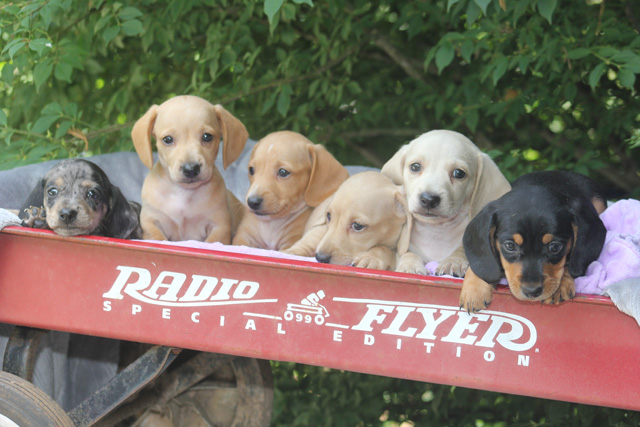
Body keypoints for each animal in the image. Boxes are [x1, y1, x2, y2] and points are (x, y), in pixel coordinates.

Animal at [132, 96, 248, 244]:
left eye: (207, 136)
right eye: (167, 139)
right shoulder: (152, 222)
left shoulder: (219, 226)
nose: (191, 169)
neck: (184, 194)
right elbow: (158, 238)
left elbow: (211, 242)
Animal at [380, 130, 510, 278]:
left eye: (459, 173)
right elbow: (408, 253)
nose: (429, 199)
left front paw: (454, 262)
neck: (437, 231)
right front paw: (409, 266)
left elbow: (462, 249)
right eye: (415, 166)